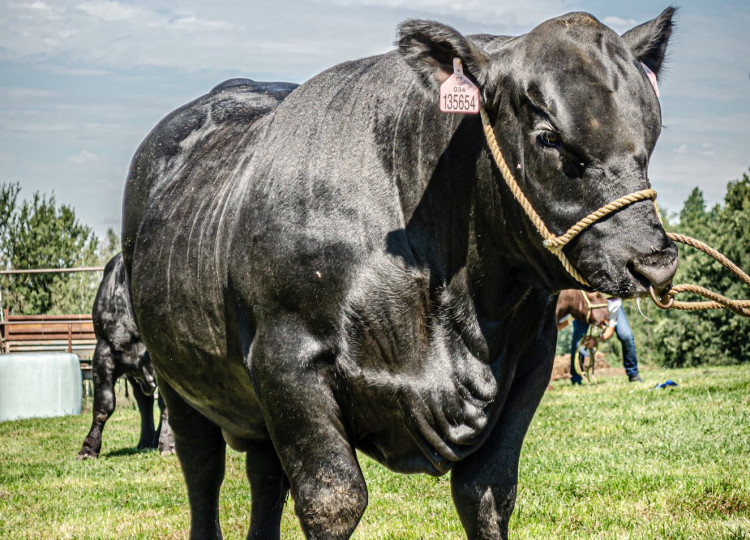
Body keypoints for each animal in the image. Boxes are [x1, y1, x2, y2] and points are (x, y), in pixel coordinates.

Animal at [77, 253, 175, 460]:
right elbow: (103, 404)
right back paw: (147, 440)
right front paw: (89, 449)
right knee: (144, 403)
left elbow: (165, 405)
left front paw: (168, 443)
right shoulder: (104, 354)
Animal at [123, 9, 680, 540]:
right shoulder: (286, 360)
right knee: (201, 467)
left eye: (653, 134)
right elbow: (333, 500)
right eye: (548, 138)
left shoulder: (531, 362)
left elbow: (487, 493)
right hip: (179, 377)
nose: (655, 261)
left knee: (265, 475)